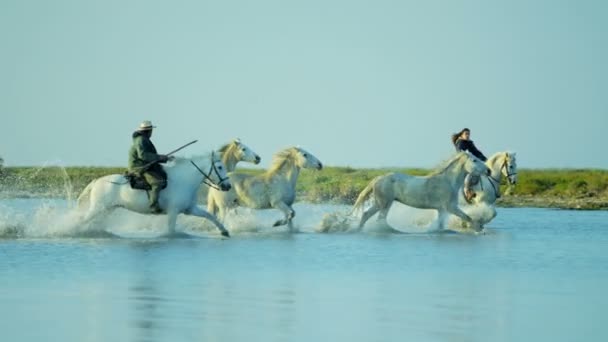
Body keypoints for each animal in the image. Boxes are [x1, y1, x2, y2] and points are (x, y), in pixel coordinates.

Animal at [76, 152, 233, 238]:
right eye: (220, 167)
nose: (228, 186)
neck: (185, 179)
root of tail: (96, 181)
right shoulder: (173, 211)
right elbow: (171, 229)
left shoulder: (190, 209)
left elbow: (210, 216)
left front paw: (224, 231)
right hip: (98, 209)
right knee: (82, 220)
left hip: (107, 210)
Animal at [352, 153, 490, 231]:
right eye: (474, 160)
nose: (488, 171)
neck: (448, 182)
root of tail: (378, 178)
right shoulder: (450, 207)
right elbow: (467, 217)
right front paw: (479, 229)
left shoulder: (441, 209)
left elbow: (440, 225)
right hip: (385, 204)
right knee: (379, 220)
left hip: (379, 203)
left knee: (366, 215)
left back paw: (358, 230)